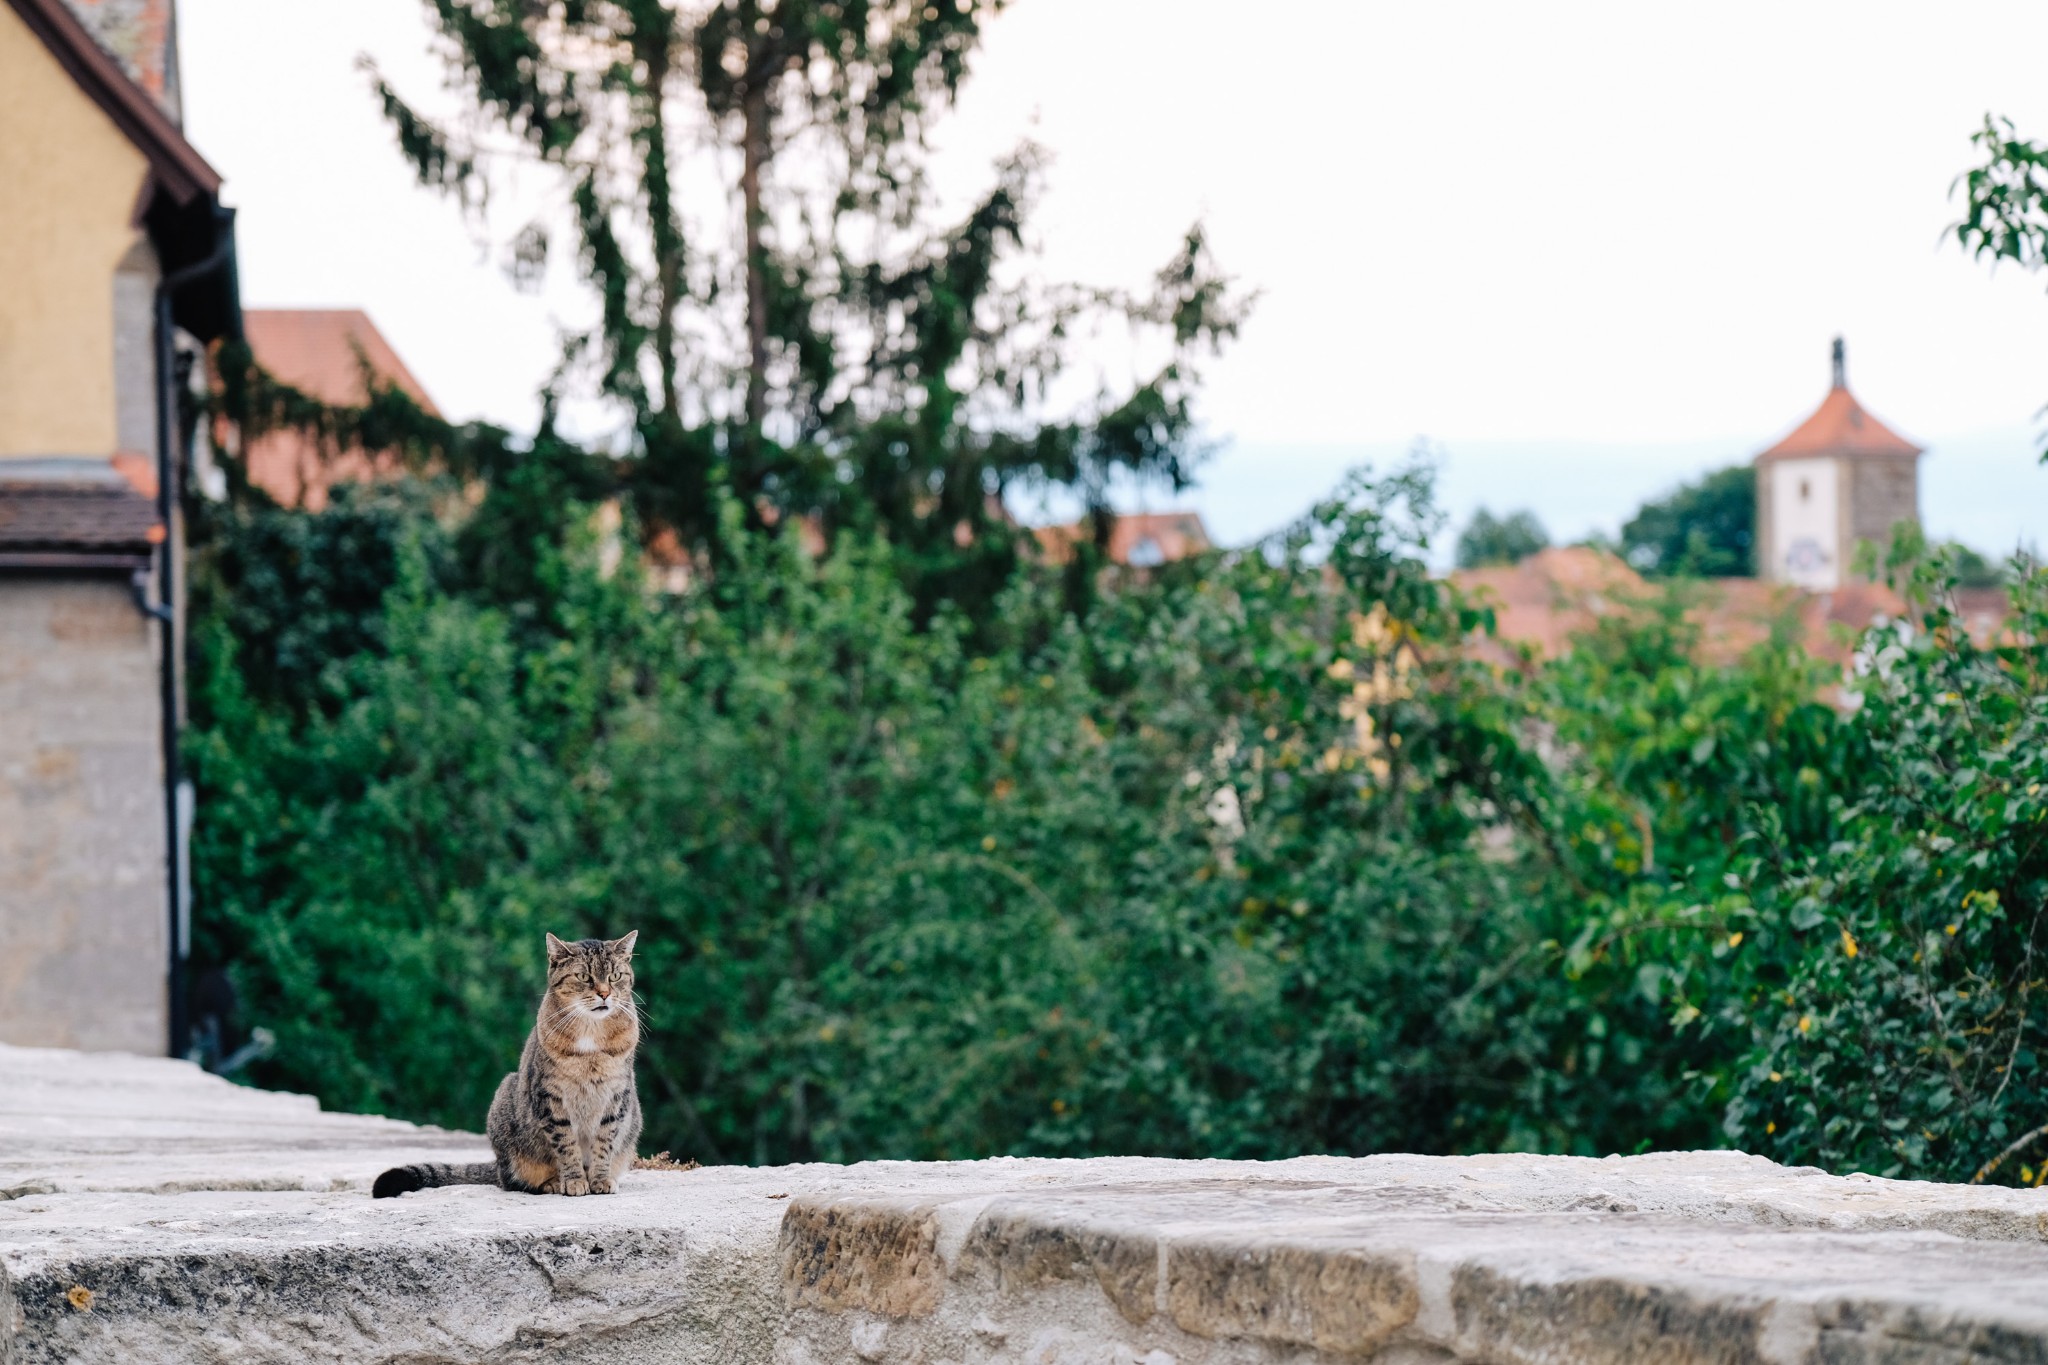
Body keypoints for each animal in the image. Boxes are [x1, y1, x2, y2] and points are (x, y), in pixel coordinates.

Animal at [372, 933, 643, 1203]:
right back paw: (551, 1182)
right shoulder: (549, 1095)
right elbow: (566, 1144)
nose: (605, 994)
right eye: (584, 977)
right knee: (512, 1180)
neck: (591, 1037)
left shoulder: (617, 1094)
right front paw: (574, 1180)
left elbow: (604, 1142)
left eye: (615, 976)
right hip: (506, 1104)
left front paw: (600, 1179)